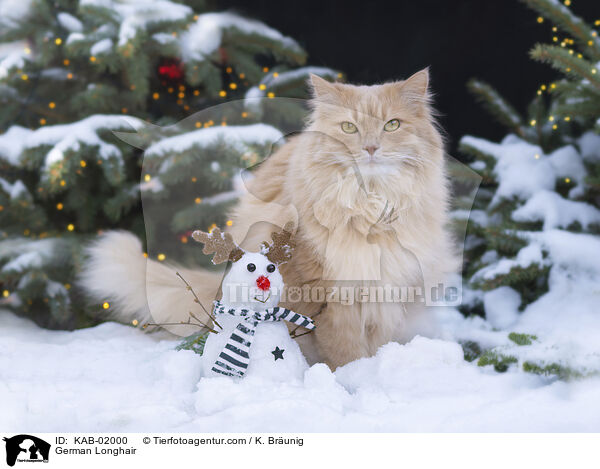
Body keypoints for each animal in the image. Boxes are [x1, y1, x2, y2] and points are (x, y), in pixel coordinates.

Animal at [81, 69, 460, 370]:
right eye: (349, 128)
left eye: (391, 125)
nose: (370, 148)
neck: (370, 206)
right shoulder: (332, 295)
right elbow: (344, 353)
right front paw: (353, 379)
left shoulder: (389, 292)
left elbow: (376, 344)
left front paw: (373, 372)